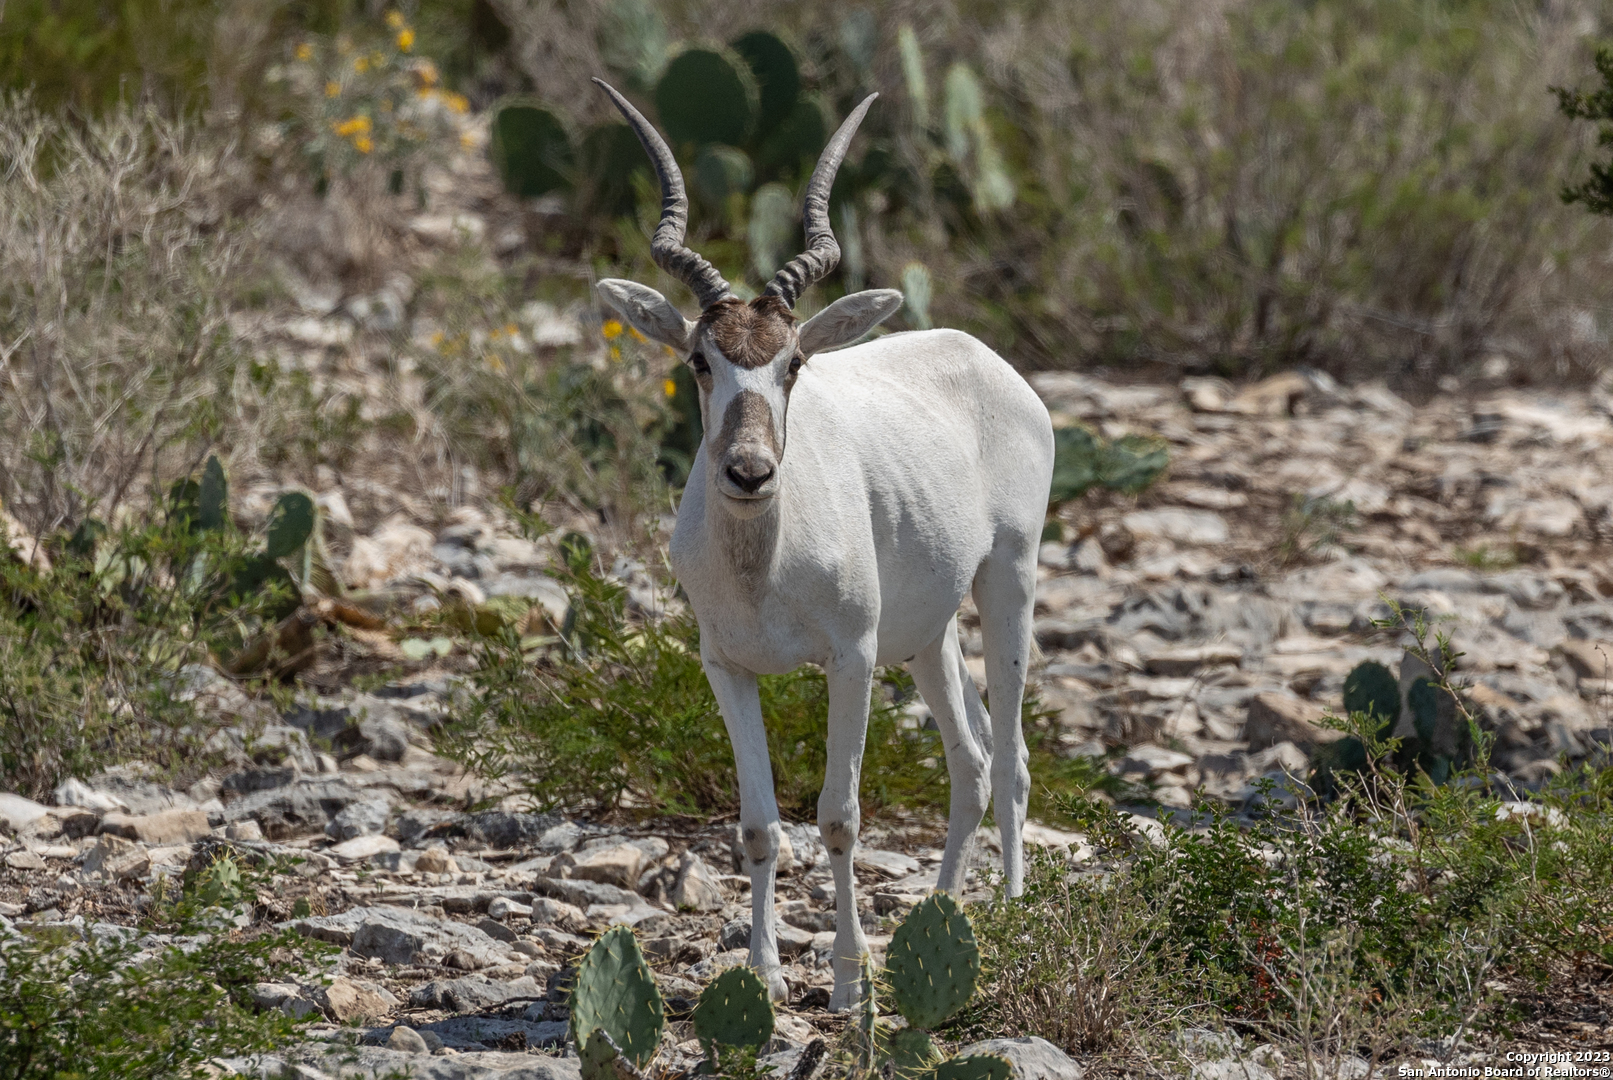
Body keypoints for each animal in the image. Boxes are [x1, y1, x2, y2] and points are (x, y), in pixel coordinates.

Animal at [593, 80, 1058, 1012]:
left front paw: (847, 982)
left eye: (794, 362)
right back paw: (942, 915)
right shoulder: (725, 667)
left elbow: (839, 818)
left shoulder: (850, 659)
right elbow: (759, 826)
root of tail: (979, 356)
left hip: (1007, 580)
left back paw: (1009, 915)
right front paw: (764, 973)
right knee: (971, 761)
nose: (748, 471)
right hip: (924, 634)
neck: (762, 570)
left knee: (1013, 760)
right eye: (699, 359)